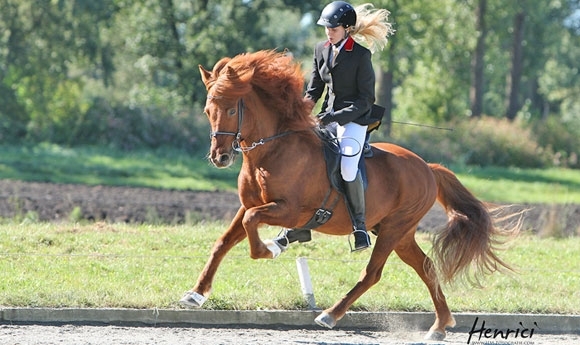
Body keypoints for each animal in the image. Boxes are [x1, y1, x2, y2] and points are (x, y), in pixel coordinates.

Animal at [182, 49, 520, 340]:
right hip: (399, 232)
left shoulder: (290, 209)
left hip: (394, 228)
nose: (220, 157)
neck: (272, 150)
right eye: (207, 110)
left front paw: (269, 249)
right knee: (425, 267)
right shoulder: (250, 205)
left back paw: (330, 314)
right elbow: (225, 240)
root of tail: (427, 167)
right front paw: (196, 294)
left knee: (372, 273)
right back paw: (439, 326)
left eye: (230, 109)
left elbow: (252, 224)